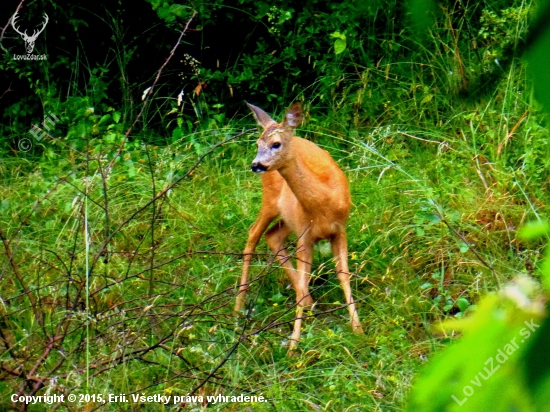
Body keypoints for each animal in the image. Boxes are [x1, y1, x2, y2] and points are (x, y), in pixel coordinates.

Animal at [235, 100, 364, 350]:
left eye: (275, 144)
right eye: (257, 143)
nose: (256, 164)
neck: (324, 204)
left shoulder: (339, 230)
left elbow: (343, 275)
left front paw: (358, 329)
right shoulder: (305, 236)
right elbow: (304, 281)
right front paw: (294, 345)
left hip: (288, 218)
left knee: (272, 236)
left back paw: (310, 302)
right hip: (271, 202)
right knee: (254, 234)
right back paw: (239, 305)